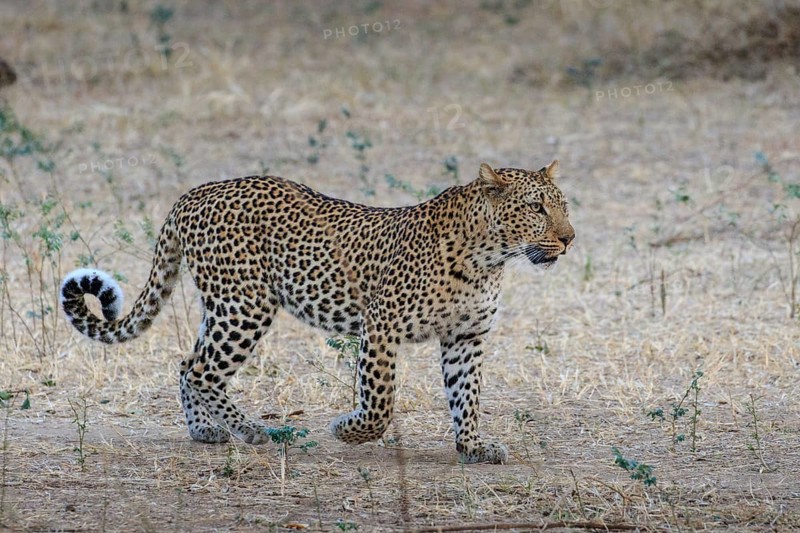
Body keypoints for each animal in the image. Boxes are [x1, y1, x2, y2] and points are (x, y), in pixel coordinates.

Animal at [60, 160, 574, 464]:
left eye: (564, 206)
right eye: (536, 208)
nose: (569, 238)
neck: (489, 258)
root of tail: (194, 194)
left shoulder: (466, 337)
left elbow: (467, 396)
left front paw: (472, 446)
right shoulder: (381, 325)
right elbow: (380, 402)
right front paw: (347, 430)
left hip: (224, 306)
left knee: (187, 364)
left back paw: (205, 430)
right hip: (245, 305)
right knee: (203, 371)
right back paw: (257, 431)